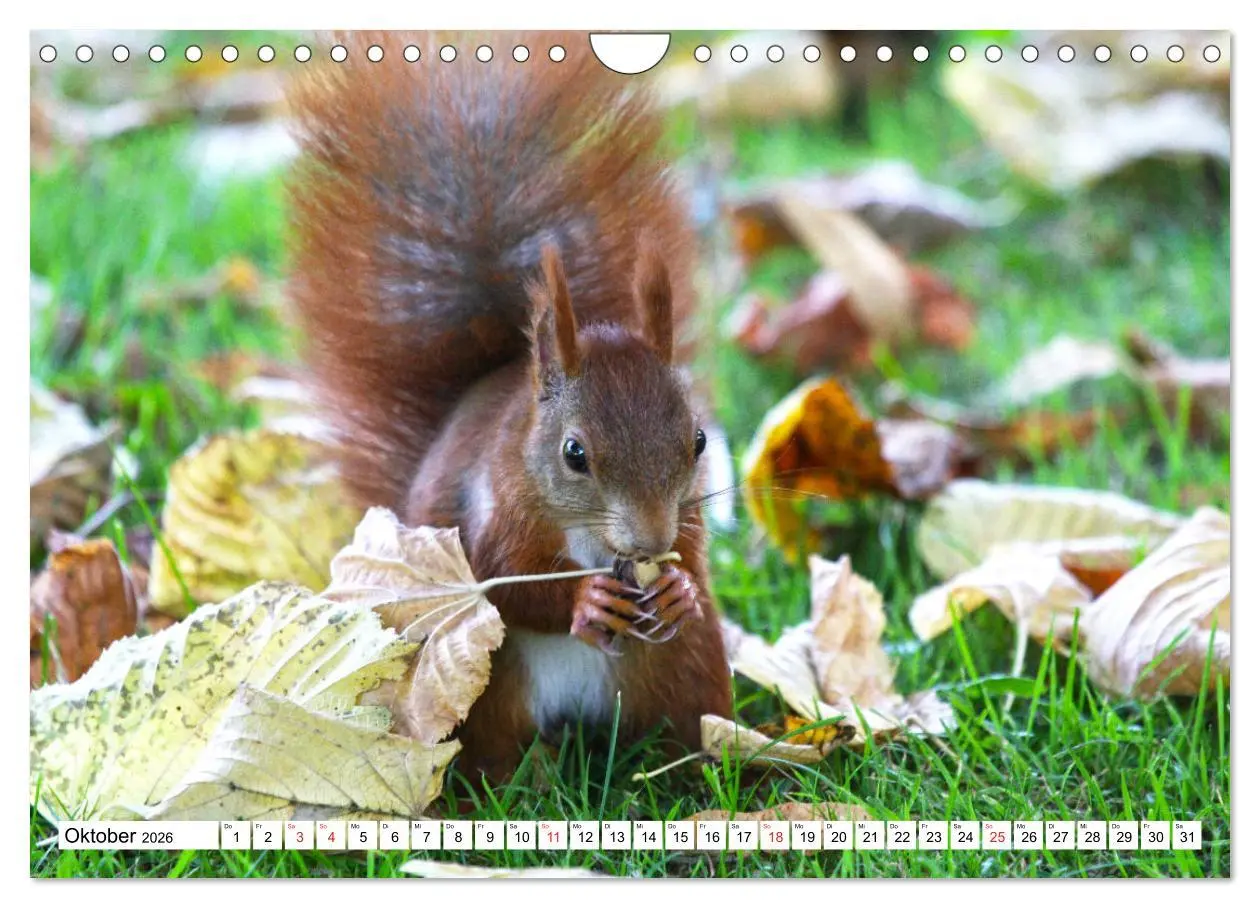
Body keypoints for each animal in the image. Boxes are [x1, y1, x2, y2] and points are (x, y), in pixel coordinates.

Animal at [287, 32, 733, 780]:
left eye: (698, 441)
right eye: (574, 453)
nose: (651, 543)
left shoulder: (690, 522)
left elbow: (696, 567)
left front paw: (678, 589)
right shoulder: (492, 513)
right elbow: (503, 584)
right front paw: (583, 600)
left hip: (686, 667)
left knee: (687, 726)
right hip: (490, 696)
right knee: (491, 753)